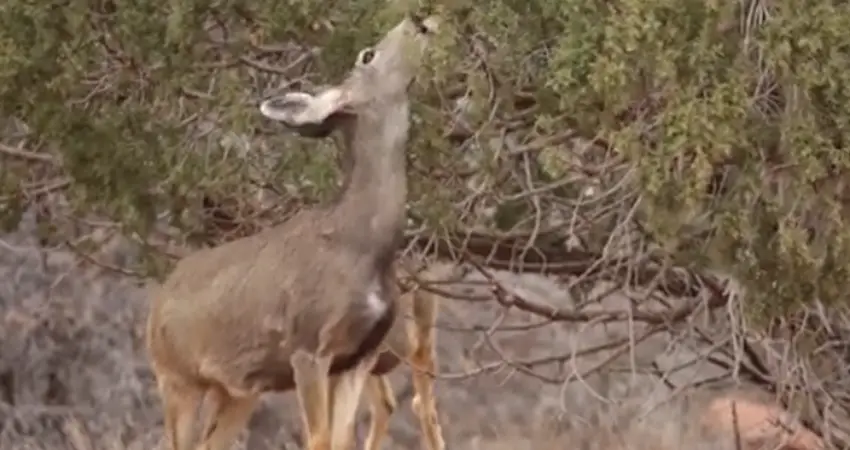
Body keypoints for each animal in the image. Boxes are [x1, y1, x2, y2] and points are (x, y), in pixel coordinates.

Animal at [145, 12, 440, 450]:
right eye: (367, 55)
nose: (417, 20)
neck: (362, 243)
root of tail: (154, 308)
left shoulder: (358, 356)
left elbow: (340, 438)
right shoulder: (307, 344)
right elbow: (319, 438)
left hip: (236, 390)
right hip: (176, 376)